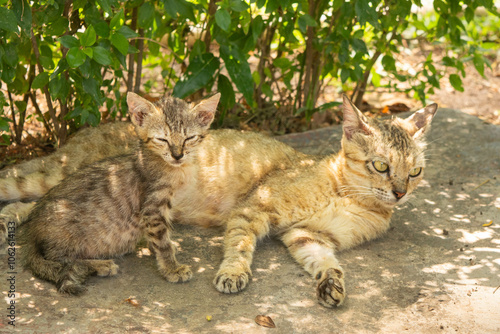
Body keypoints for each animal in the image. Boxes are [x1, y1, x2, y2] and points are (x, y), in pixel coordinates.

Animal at [20, 92, 219, 294]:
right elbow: (161, 241)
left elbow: (156, 237)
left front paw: (159, 250)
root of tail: (32, 232)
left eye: (189, 138)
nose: (177, 155)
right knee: (62, 260)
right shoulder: (153, 208)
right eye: (162, 139)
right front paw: (171, 268)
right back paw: (101, 265)